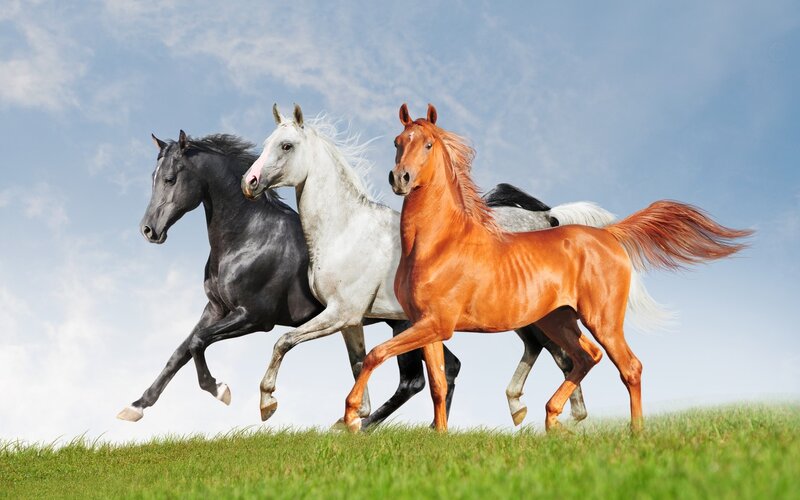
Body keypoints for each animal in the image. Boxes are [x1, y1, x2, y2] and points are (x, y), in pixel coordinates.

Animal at [117, 131, 445, 427]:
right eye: (154, 176)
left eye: (171, 178)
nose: (148, 230)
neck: (250, 236)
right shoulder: (215, 309)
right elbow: (180, 351)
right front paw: (136, 406)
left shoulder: (254, 317)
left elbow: (199, 342)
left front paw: (221, 390)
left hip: (402, 324)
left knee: (413, 381)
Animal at [241, 104, 634, 426]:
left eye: (286, 146)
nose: (250, 183)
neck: (346, 229)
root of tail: (548, 219)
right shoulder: (350, 321)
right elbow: (357, 363)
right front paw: (352, 419)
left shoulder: (341, 313)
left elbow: (283, 342)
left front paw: (267, 403)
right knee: (552, 353)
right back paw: (531, 410)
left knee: (564, 356)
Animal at [340, 103, 752, 433]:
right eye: (398, 141)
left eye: (427, 144)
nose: (400, 179)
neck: (440, 243)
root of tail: (608, 235)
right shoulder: (427, 326)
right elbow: (439, 384)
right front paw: (438, 436)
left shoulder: (435, 324)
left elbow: (376, 355)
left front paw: (350, 417)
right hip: (559, 319)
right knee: (584, 357)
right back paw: (551, 419)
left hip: (601, 319)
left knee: (628, 366)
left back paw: (634, 434)